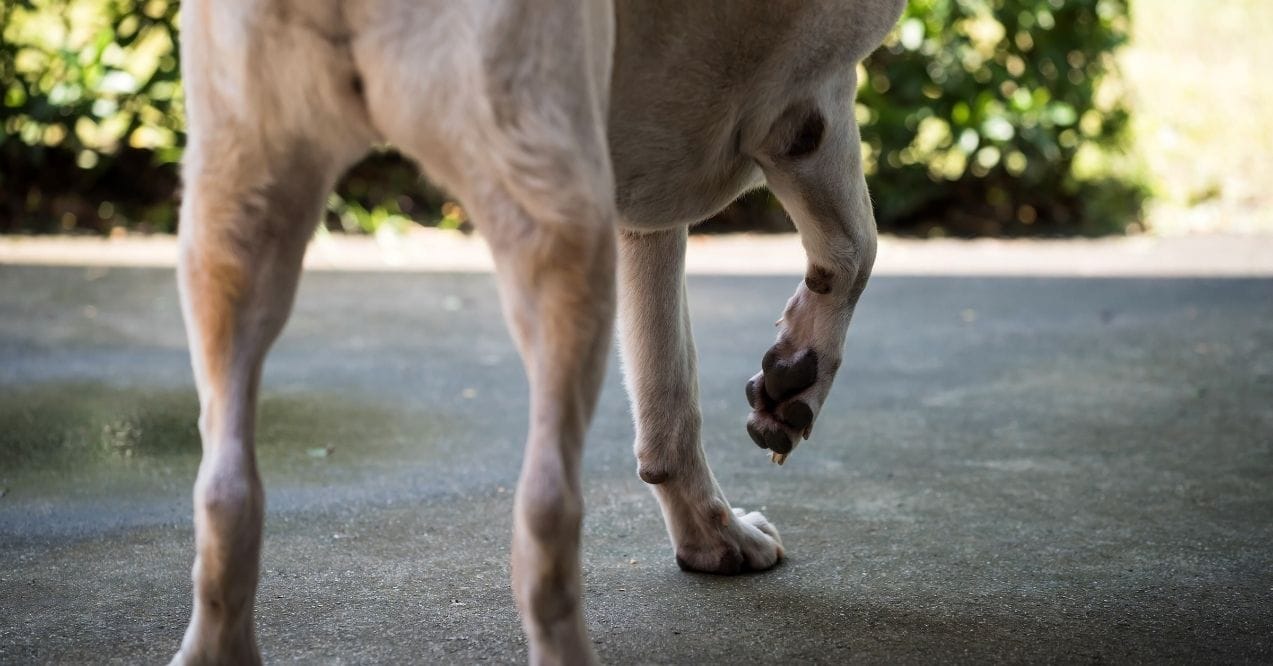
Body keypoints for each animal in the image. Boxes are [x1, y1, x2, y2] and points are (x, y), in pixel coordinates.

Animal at [176, 0, 906, 662]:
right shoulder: (811, 98)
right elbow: (856, 249)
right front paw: (795, 378)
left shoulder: (643, 208)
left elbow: (667, 386)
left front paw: (713, 536)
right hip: (558, 222)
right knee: (544, 523)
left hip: (236, 216)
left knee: (225, 498)